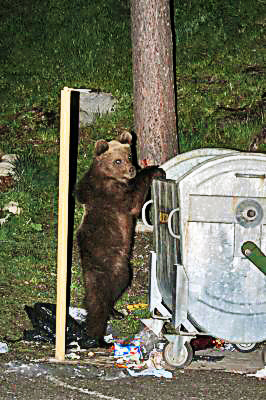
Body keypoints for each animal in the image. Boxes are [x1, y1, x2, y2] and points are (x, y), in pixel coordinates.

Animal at [75, 132, 165, 346]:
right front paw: (154, 169)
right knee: (103, 296)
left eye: (129, 156)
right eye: (118, 160)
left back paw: (114, 311)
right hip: (112, 265)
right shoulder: (114, 194)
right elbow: (134, 202)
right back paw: (98, 337)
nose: (132, 169)